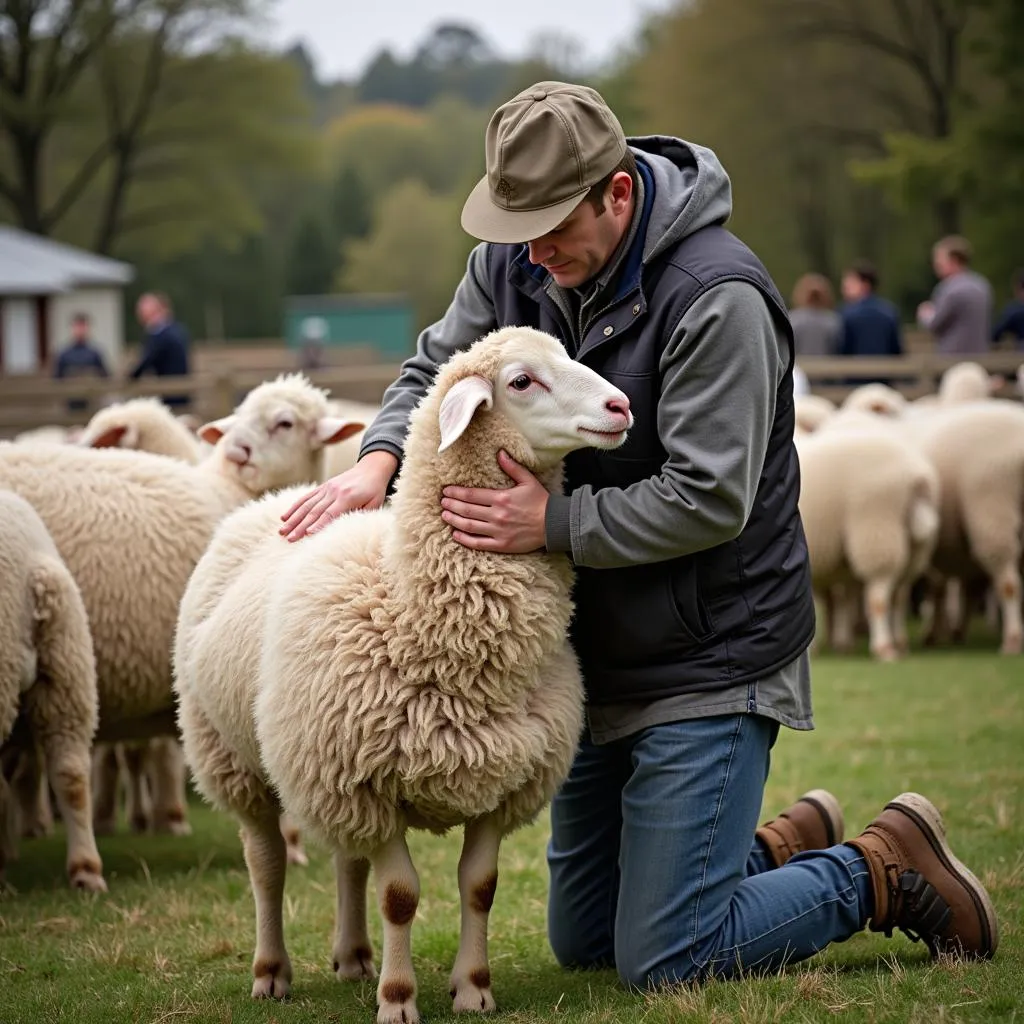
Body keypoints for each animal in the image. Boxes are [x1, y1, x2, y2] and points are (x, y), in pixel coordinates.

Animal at [0, 376, 366, 839]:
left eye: (285, 423)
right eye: (240, 415)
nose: (237, 451)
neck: (226, 488)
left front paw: (147, 818)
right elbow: (155, 751)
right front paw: (163, 817)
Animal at [174, 325, 630, 1015]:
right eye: (521, 381)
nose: (620, 407)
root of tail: (277, 500)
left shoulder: (499, 781)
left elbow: (479, 886)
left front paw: (473, 989)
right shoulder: (369, 781)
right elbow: (400, 897)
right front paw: (398, 999)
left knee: (348, 860)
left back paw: (353, 956)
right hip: (233, 758)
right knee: (267, 862)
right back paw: (272, 970)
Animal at [794, 425, 937, 659]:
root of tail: (915, 476)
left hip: (881, 535)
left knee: (883, 599)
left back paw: (886, 646)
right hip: (901, 548)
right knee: (892, 599)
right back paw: (895, 644)